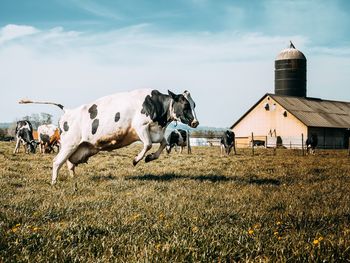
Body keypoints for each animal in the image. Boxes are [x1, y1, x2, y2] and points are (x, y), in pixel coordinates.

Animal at [19, 89, 200, 185]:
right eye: (185, 105)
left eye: (194, 104)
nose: (196, 122)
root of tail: (68, 111)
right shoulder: (140, 127)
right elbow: (148, 144)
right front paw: (136, 159)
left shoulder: (157, 132)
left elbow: (162, 144)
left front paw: (150, 158)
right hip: (69, 144)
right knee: (57, 161)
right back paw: (54, 182)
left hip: (78, 148)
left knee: (70, 163)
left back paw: (73, 179)